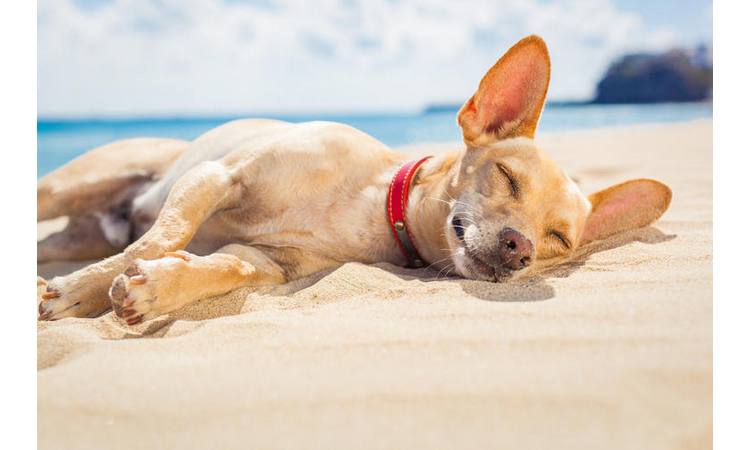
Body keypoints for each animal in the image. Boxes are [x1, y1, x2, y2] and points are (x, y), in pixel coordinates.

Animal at [36, 35, 676, 324]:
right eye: (507, 176)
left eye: (558, 240)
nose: (520, 249)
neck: (369, 202)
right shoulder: (216, 176)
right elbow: (159, 239)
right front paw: (80, 290)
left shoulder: (269, 261)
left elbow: (223, 268)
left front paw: (156, 289)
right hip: (69, 187)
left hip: (76, 230)